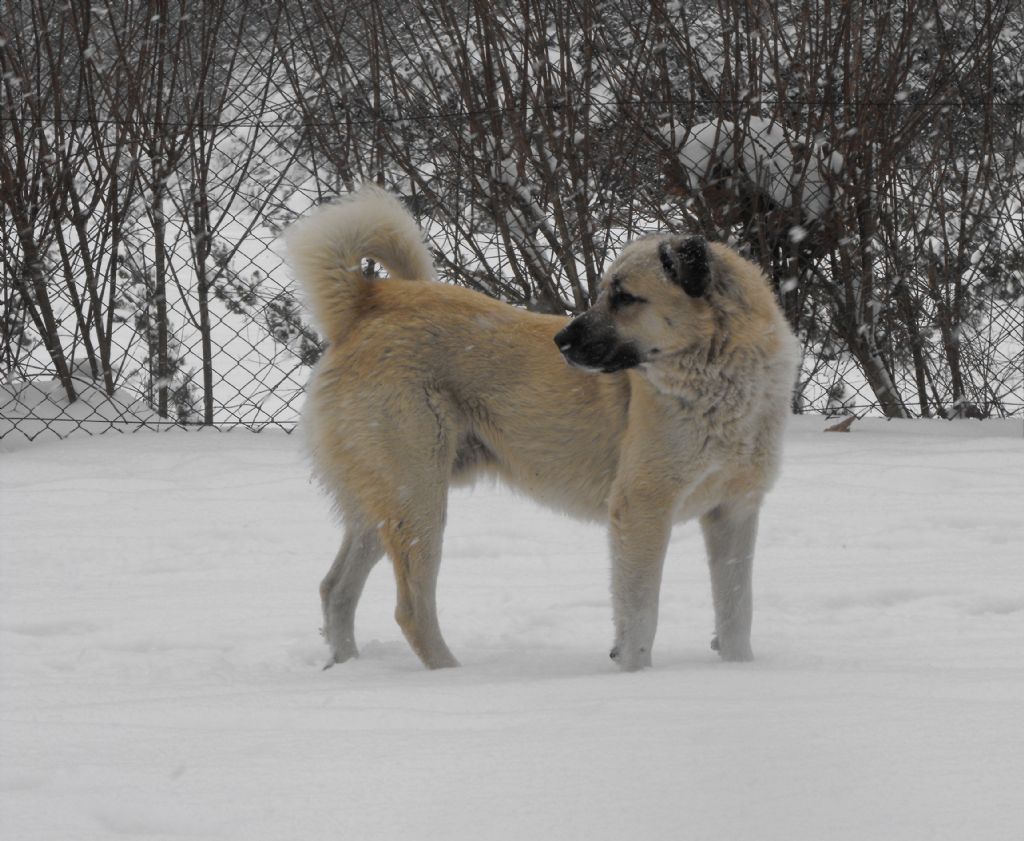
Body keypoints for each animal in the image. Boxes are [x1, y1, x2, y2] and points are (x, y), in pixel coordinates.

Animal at [288, 185, 798, 667]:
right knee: (410, 609)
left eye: (624, 297)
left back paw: (346, 666)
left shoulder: (735, 511)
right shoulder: (643, 509)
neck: (721, 381)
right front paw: (635, 676)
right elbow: (640, 619)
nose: (560, 340)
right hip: (417, 499)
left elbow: (737, 613)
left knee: (336, 589)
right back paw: (451, 674)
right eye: (605, 292)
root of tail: (367, 303)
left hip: (383, 503)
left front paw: (737, 671)